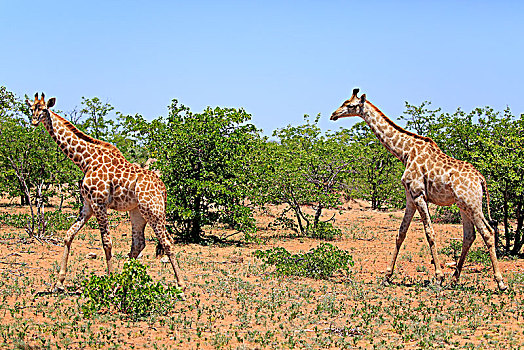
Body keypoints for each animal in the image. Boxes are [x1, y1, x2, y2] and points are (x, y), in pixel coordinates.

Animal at [27, 92, 186, 292]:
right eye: (31, 108)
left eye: (43, 109)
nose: (33, 121)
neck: (85, 160)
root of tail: (163, 188)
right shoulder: (87, 205)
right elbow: (68, 235)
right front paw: (59, 283)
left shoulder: (99, 203)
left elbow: (106, 242)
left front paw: (110, 282)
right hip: (137, 213)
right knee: (138, 243)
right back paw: (125, 280)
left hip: (154, 211)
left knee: (167, 242)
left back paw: (181, 285)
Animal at [332, 87, 508, 290]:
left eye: (350, 105)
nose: (333, 114)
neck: (405, 151)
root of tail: (480, 179)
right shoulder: (410, 196)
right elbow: (401, 233)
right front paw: (387, 276)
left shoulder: (418, 194)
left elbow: (429, 233)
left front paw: (438, 277)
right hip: (463, 205)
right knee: (469, 236)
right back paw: (454, 279)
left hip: (472, 204)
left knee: (488, 232)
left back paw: (500, 282)